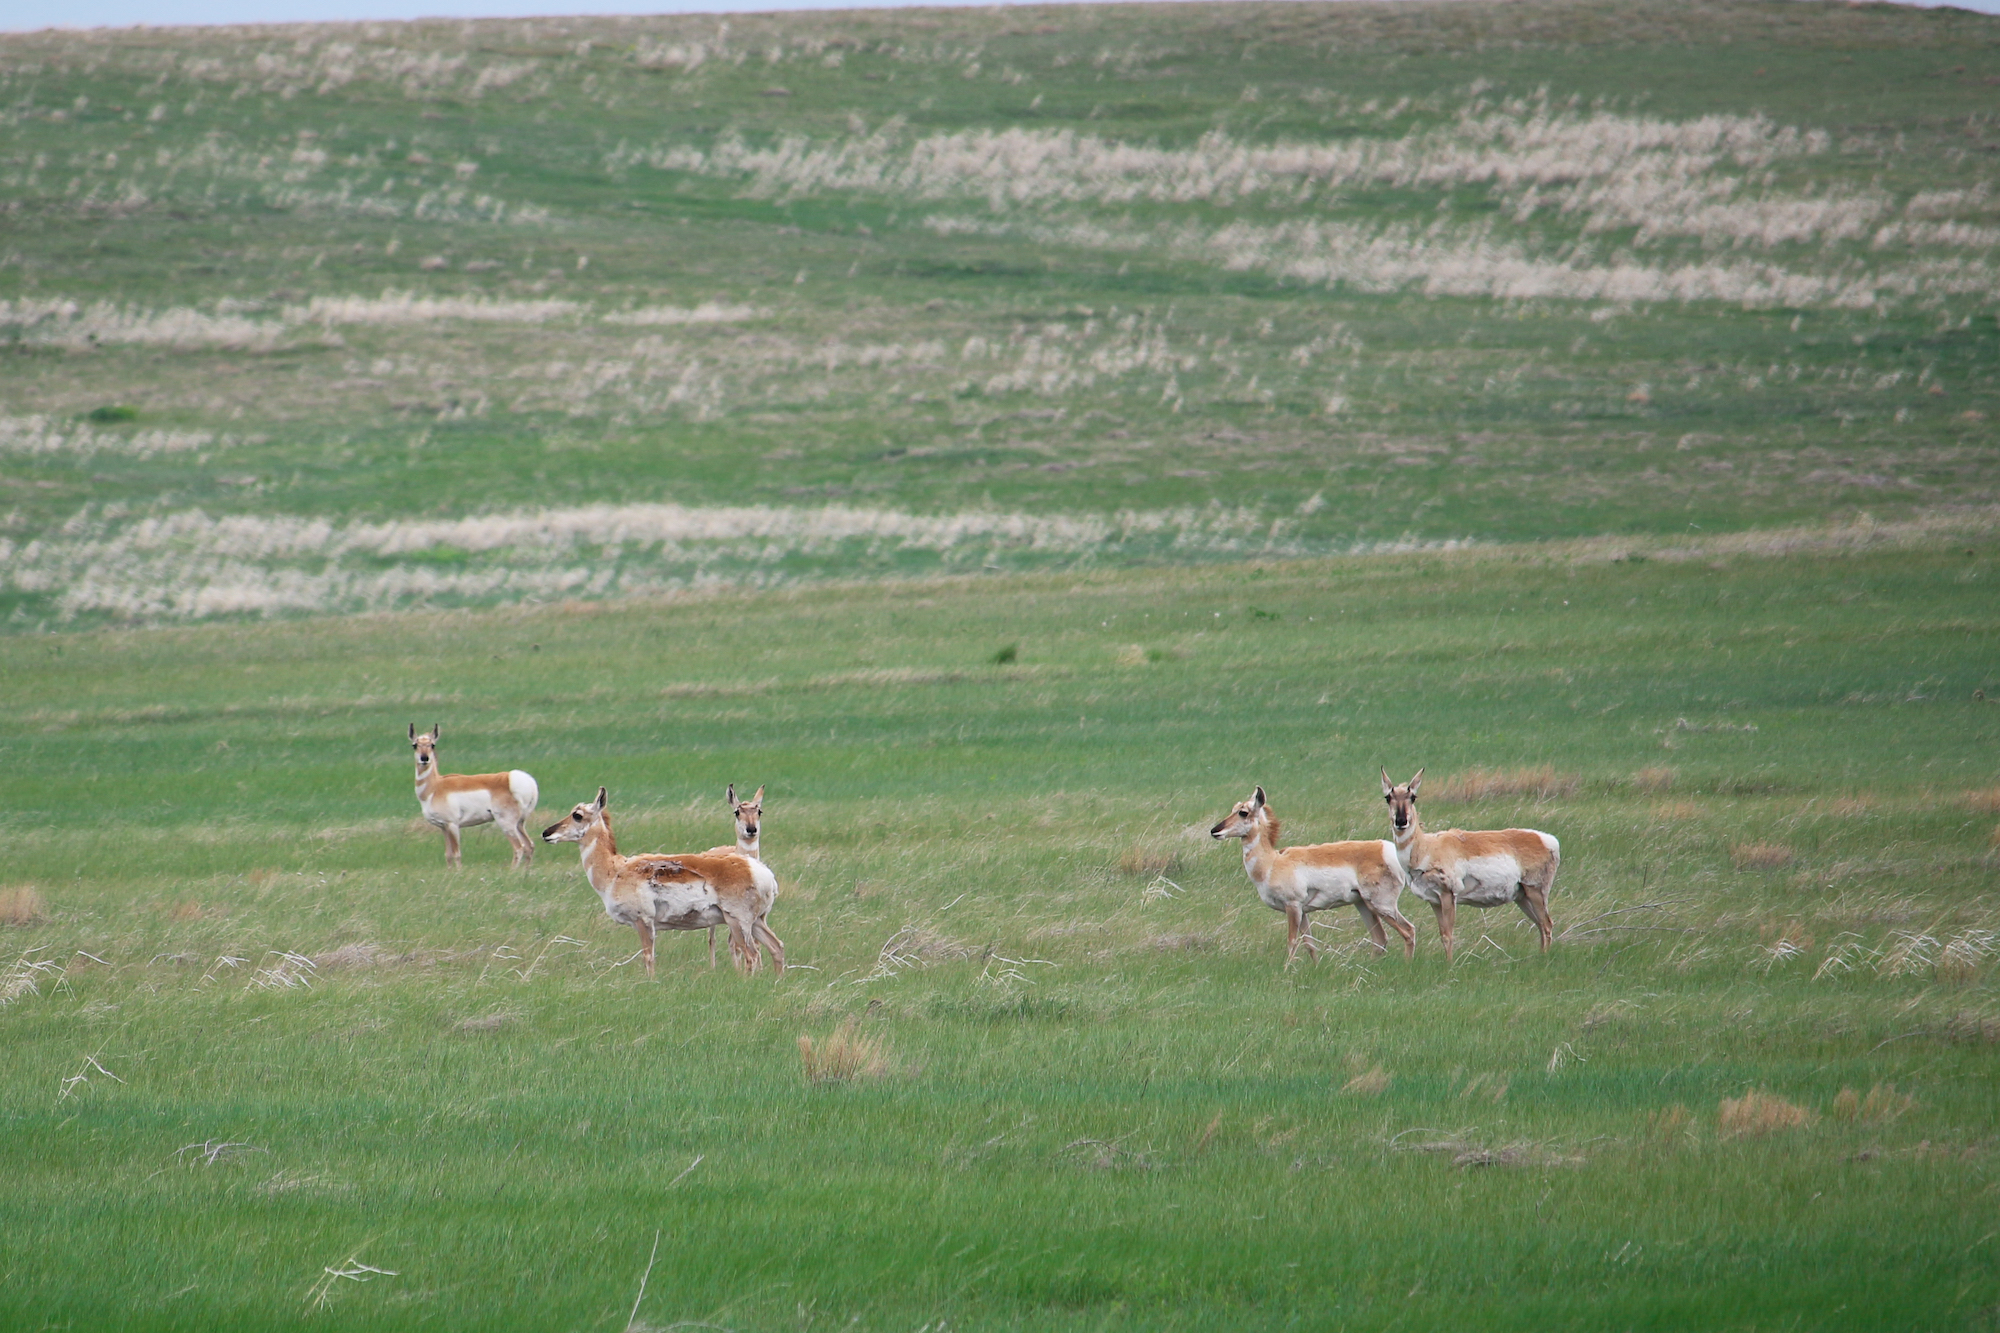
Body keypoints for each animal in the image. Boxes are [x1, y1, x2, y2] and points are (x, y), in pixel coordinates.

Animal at [408, 723, 539, 869]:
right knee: (529, 846)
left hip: (507, 824)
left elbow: (456, 854)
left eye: (432, 744)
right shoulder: (443, 827)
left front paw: (458, 872)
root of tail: (516, 779)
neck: (435, 786)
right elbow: (448, 855)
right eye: (414, 745)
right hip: (520, 823)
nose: (424, 758)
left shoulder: (452, 825)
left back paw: (512, 871)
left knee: (519, 848)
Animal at [543, 787, 785, 977]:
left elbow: (648, 958)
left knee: (752, 955)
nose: (546, 832)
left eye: (577, 815)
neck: (616, 870)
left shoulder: (643, 922)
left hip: (738, 922)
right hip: (757, 922)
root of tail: (758, 869)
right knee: (776, 947)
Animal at [1210, 786, 1416, 965]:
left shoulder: (1293, 907)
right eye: (1233, 809)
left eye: (1243, 812)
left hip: (1382, 905)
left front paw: (1286, 971)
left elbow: (1292, 942)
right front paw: (1315, 967)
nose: (1214, 830)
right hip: (1364, 904)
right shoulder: (1303, 912)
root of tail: (1386, 849)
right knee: (1380, 939)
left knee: (1408, 931)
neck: (1272, 862)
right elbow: (1310, 945)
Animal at [1381, 769, 1560, 960]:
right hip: (1523, 897)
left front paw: (1449, 963)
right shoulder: (1434, 901)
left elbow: (1448, 935)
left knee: (1547, 924)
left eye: (1413, 797)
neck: (1427, 847)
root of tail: (1547, 840)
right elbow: (1442, 934)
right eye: (1388, 797)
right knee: (1540, 925)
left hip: (1536, 891)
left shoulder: (1448, 895)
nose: (1401, 821)